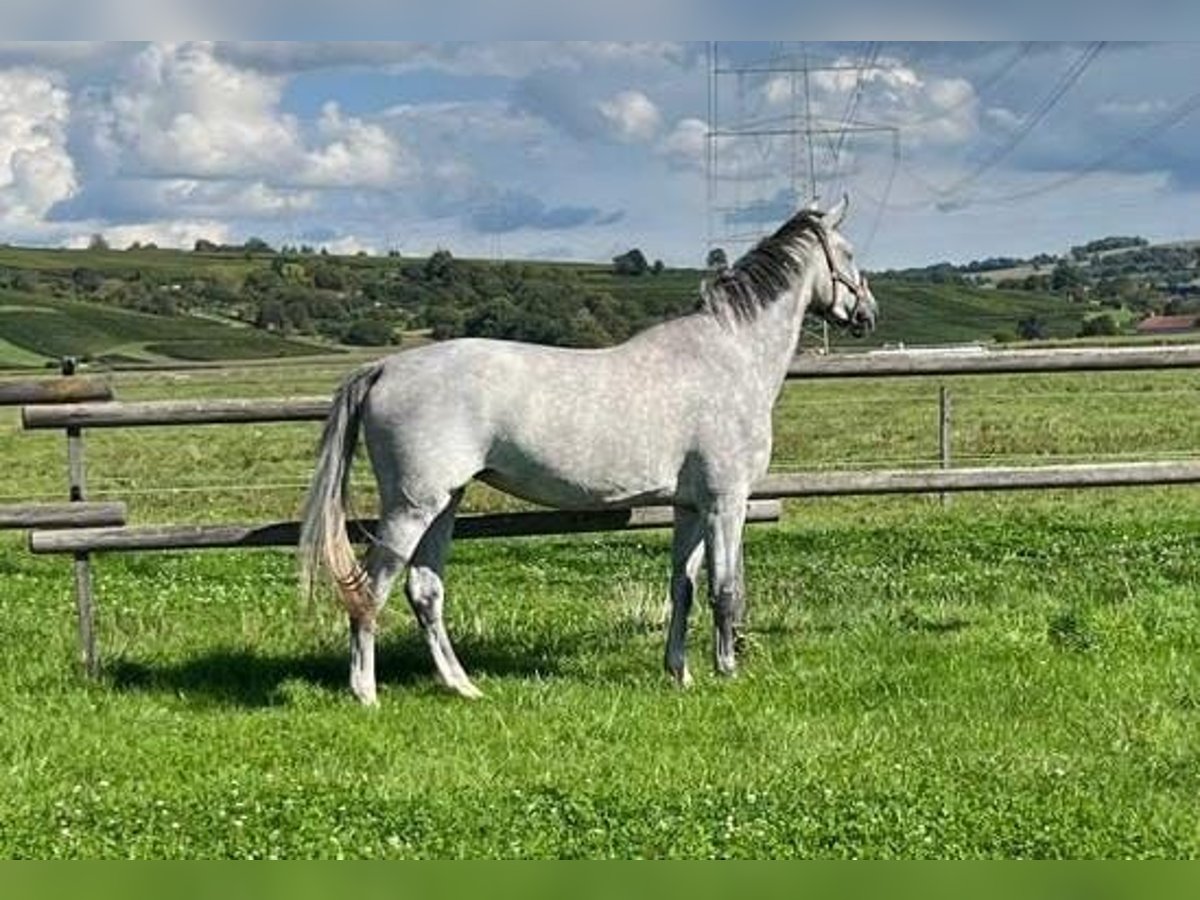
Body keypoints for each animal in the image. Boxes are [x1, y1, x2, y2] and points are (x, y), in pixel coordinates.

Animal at [299, 196, 877, 704]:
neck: (730, 357)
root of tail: (384, 368)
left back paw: (463, 687)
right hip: (412, 506)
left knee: (424, 591)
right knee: (370, 590)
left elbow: (684, 588)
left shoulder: (690, 507)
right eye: (848, 252)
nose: (867, 313)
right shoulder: (725, 503)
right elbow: (725, 589)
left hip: (446, 502)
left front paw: (680, 674)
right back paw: (366, 693)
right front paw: (727, 672)